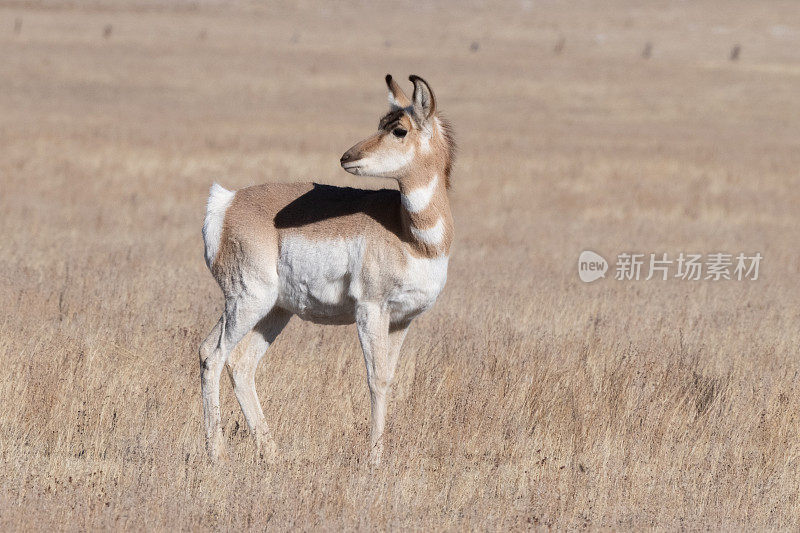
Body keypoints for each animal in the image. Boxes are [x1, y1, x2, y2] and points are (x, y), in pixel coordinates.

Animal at [198, 74, 456, 462]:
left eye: (398, 129)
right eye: (380, 123)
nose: (348, 156)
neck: (410, 234)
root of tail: (228, 202)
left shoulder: (403, 319)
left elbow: (389, 378)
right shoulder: (371, 310)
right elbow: (375, 379)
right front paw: (374, 460)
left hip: (274, 310)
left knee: (239, 362)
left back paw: (272, 455)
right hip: (247, 302)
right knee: (213, 356)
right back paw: (219, 455)